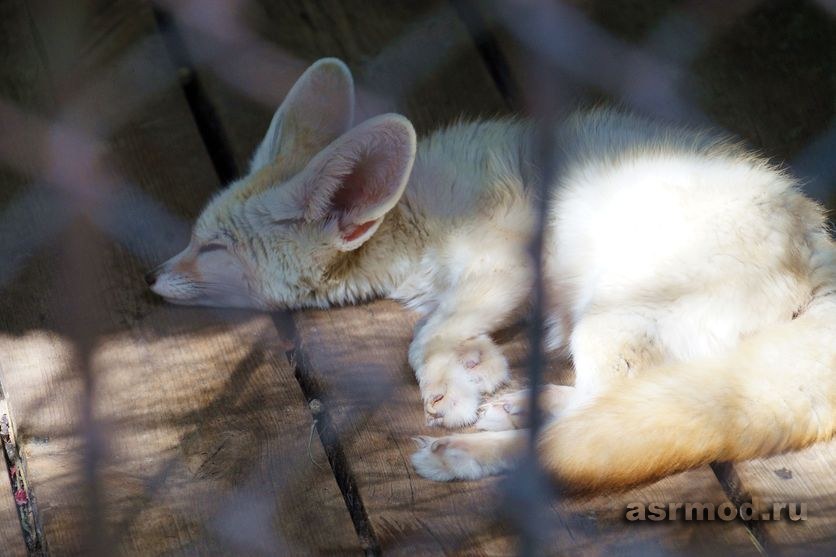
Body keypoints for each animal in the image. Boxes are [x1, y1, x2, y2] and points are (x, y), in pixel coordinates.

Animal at [147, 57, 836, 490]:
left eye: (211, 248)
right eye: (195, 237)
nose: (152, 277)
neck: (410, 210)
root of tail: (814, 242)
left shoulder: (503, 258)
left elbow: (422, 339)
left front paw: (449, 391)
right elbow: (441, 330)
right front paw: (477, 365)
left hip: (608, 318)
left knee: (611, 407)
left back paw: (473, 449)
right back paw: (520, 405)